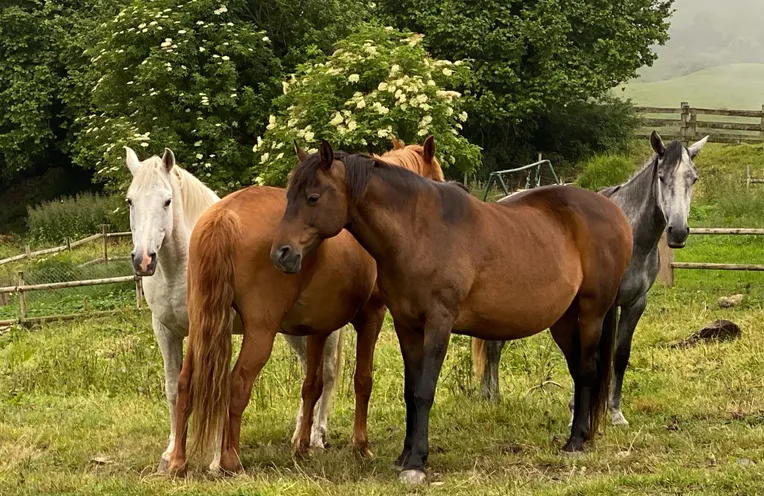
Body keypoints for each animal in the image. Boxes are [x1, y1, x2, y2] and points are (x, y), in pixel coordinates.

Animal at [125, 145, 340, 470]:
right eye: (130, 201)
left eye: (167, 201)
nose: (143, 260)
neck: (181, 266)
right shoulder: (165, 331)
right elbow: (173, 388)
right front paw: (171, 453)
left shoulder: (217, 329)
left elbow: (217, 387)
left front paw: (216, 458)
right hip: (292, 331)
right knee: (309, 371)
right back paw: (298, 435)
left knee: (327, 373)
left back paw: (316, 437)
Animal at [164, 137, 444, 476]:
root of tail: (224, 215)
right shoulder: (371, 317)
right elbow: (362, 380)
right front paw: (360, 446)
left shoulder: (317, 328)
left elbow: (312, 384)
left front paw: (302, 447)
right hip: (260, 333)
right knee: (238, 384)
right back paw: (229, 460)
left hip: (201, 326)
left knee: (185, 383)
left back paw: (178, 461)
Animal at [272, 141, 628, 486]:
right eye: (289, 195)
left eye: (313, 197)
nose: (281, 254)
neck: (419, 232)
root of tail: (613, 210)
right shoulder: (406, 326)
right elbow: (410, 390)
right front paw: (405, 455)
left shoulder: (438, 324)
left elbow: (424, 391)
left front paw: (416, 463)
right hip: (564, 322)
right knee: (579, 372)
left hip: (591, 314)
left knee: (587, 371)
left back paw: (576, 442)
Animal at [474, 132, 708, 426]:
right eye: (662, 177)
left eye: (693, 178)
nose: (677, 232)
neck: (629, 236)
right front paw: (578, 409)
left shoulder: (635, 303)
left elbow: (620, 354)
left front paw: (615, 412)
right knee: (494, 344)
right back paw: (491, 398)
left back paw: (489, 396)